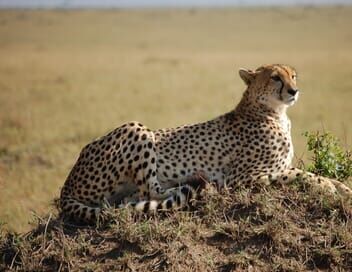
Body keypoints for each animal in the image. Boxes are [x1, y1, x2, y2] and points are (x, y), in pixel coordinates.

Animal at [60, 65, 352, 222]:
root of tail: (67, 184)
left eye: (293, 76)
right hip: (135, 127)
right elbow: (301, 175)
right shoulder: (242, 178)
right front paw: (329, 188)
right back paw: (198, 186)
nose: (294, 90)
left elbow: (315, 175)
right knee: (149, 193)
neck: (273, 112)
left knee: (131, 199)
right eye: (275, 77)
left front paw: (342, 188)